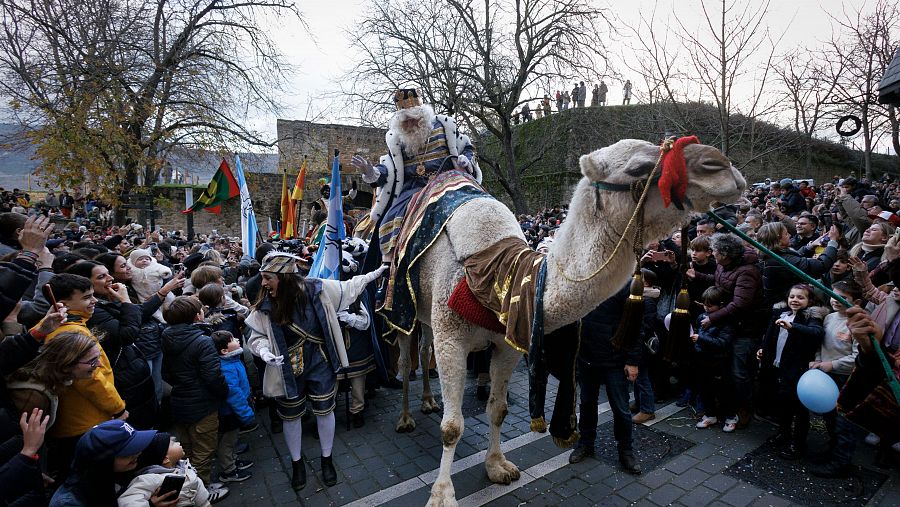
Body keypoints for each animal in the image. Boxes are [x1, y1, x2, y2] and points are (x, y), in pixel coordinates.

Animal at [398, 140, 740, 507]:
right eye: (637, 168)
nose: (722, 167)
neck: (501, 275)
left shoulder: (508, 342)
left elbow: (498, 409)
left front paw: (498, 466)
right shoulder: (451, 337)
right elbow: (452, 427)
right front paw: (442, 495)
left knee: (423, 348)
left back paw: (428, 400)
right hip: (400, 309)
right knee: (406, 358)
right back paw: (405, 418)